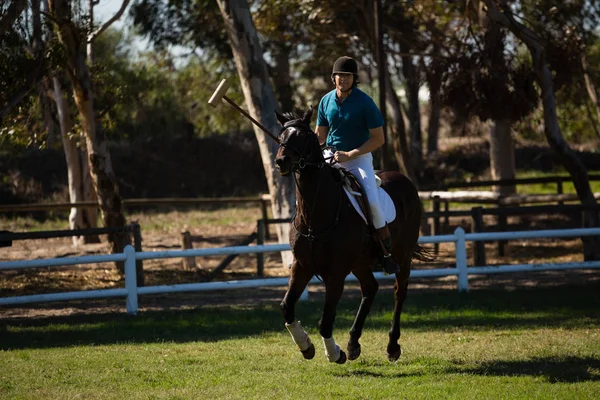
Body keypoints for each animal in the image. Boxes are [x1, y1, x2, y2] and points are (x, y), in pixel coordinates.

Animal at [274, 108, 428, 364]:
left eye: (302, 137)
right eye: (281, 136)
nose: (281, 161)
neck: (316, 214)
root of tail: (406, 181)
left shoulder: (336, 272)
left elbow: (325, 322)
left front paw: (335, 353)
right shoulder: (302, 265)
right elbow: (287, 307)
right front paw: (306, 346)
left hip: (402, 256)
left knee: (399, 292)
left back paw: (392, 346)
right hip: (360, 262)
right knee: (370, 288)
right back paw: (354, 342)